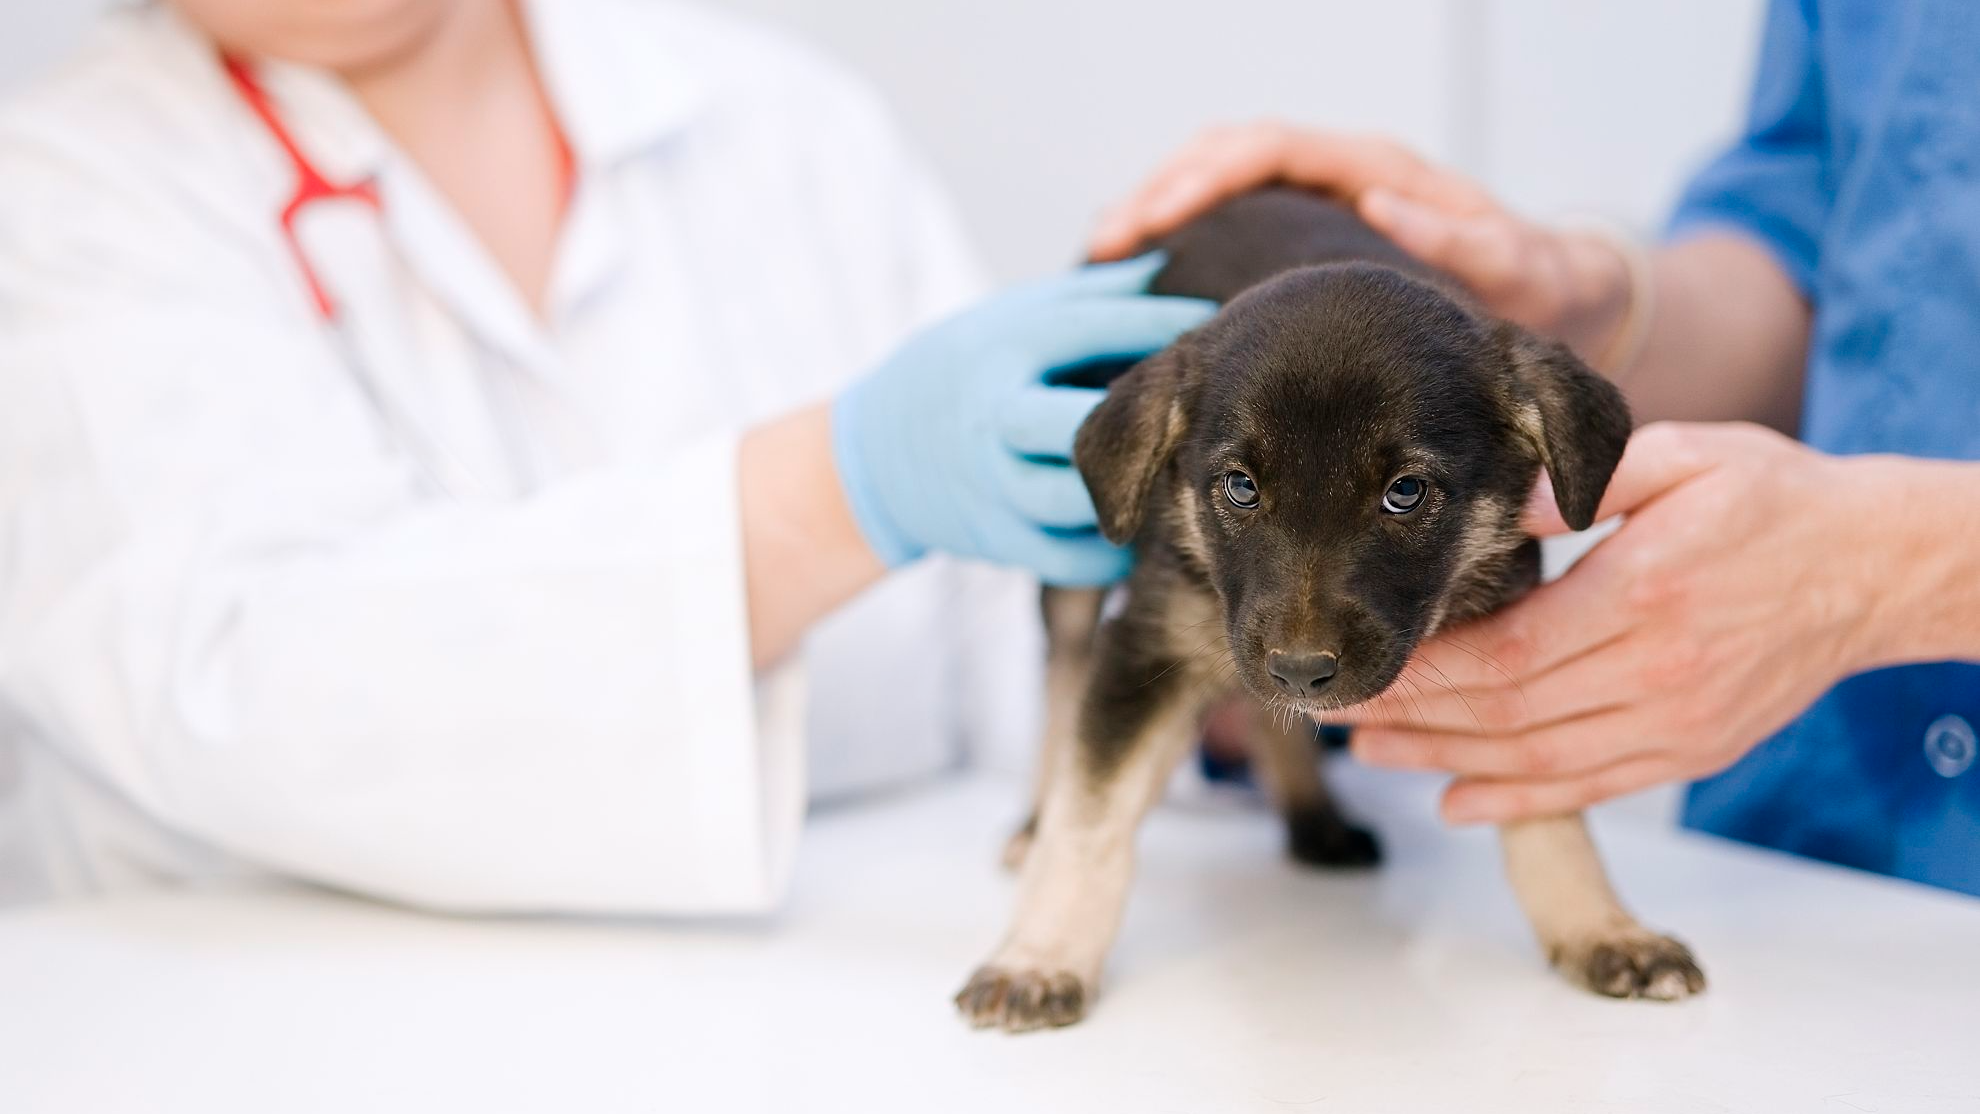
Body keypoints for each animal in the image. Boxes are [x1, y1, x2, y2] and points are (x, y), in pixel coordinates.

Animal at [954, 189, 1702, 1036]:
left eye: (1405, 492)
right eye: (1240, 487)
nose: (1302, 670)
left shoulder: (1509, 674)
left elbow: (1553, 814)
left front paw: (1602, 928)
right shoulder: (1150, 649)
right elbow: (1090, 815)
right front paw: (1039, 955)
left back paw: (1315, 817)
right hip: (1073, 558)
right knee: (1063, 684)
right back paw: (1032, 825)